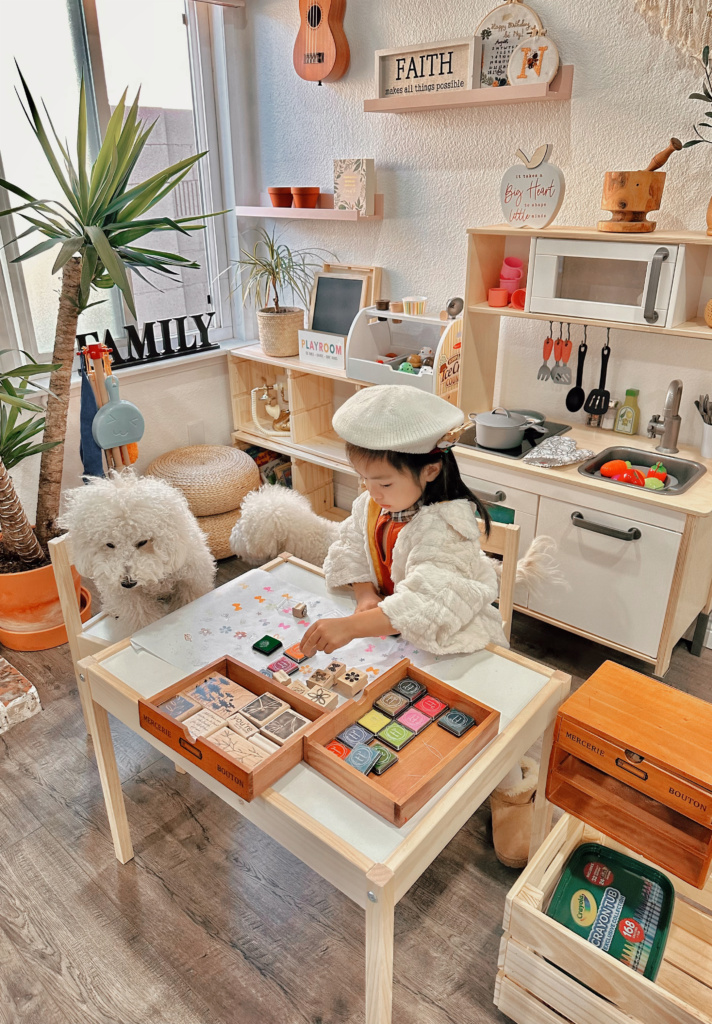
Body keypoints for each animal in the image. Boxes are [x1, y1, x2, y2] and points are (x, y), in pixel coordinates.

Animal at [59, 468, 216, 630]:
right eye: (110, 544)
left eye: (142, 542)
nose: (127, 582)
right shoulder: (131, 599)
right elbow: (143, 618)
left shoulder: (190, 581)